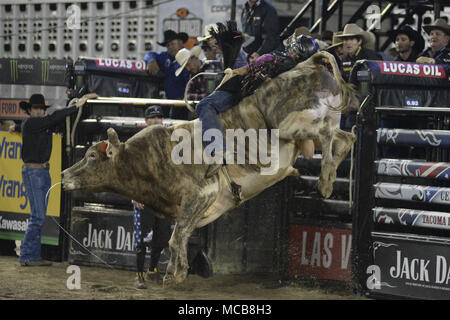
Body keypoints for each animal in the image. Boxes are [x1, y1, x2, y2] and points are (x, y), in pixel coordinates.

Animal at [62, 51, 358, 286]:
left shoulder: (201, 193)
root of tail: (309, 65)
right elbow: (180, 236)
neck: (148, 159)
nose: (63, 175)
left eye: (91, 156)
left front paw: (173, 275)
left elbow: (176, 237)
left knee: (328, 134)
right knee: (345, 138)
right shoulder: (197, 208)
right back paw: (331, 180)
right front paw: (177, 271)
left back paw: (325, 182)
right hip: (319, 123)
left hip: (293, 124)